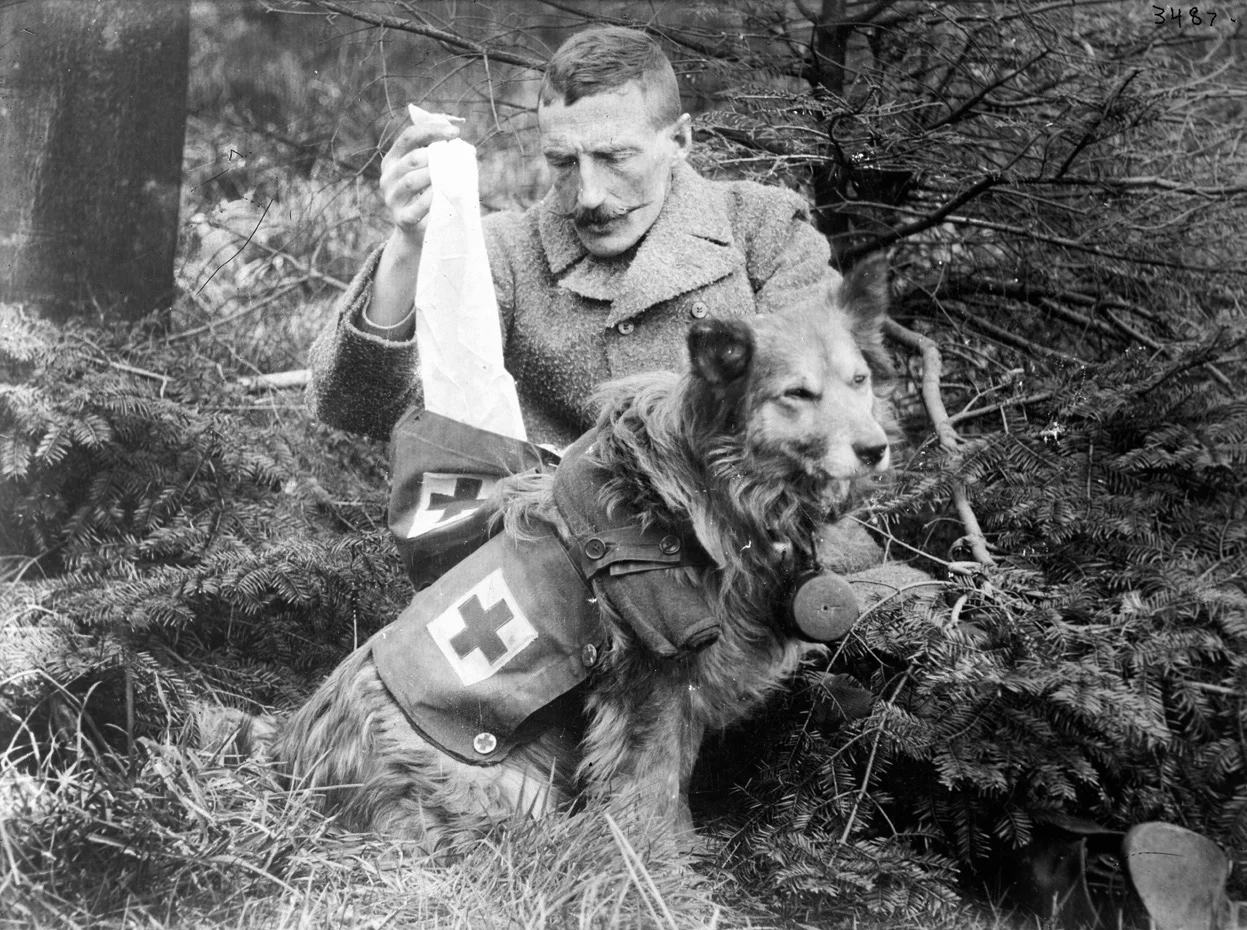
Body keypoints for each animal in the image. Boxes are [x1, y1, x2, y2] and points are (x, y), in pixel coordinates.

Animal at [248, 256, 892, 852]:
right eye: (798, 394)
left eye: (859, 381)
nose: (876, 448)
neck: (700, 490)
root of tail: (290, 760)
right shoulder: (654, 681)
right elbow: (654, 785)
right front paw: (661, 868)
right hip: (498, 787)